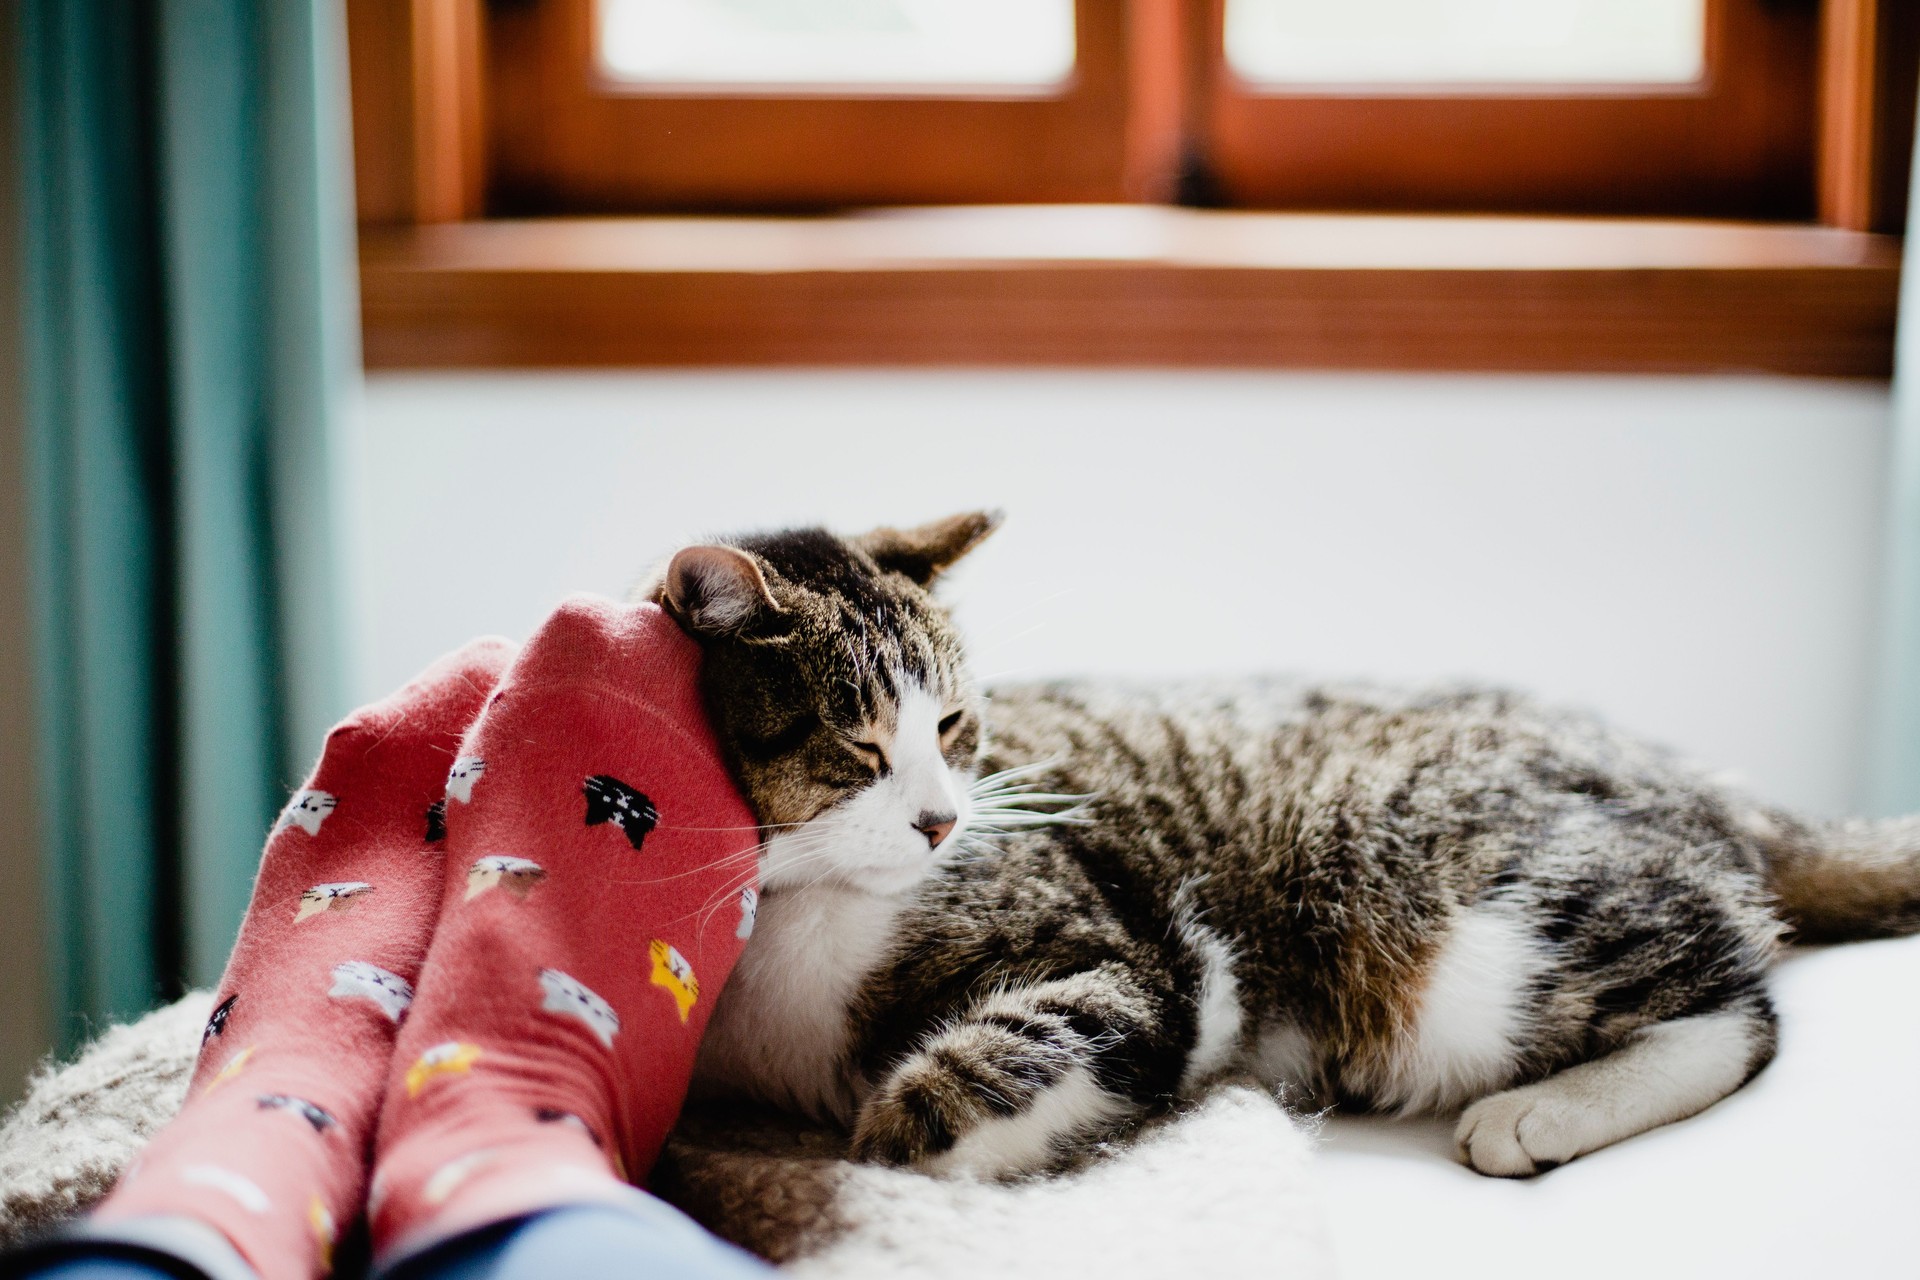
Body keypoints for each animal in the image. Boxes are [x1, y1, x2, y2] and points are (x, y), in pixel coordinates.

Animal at [648, 510, 1920, 1182]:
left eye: (955, 724)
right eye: (859, 741)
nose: (943, 818)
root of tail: (1711, 780)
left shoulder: (1139, 964)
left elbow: (984, 1080)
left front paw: (883, 1147)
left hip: (1439, 899)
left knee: (1737, 1007)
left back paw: (1539, 1113)